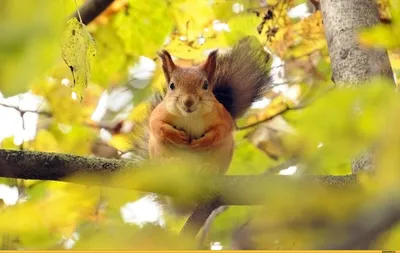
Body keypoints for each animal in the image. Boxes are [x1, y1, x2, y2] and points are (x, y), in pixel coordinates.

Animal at [128, 35, 272, 213]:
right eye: (172, 86)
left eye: (205, 85)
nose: (188, 102)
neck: (190, 116)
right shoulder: (159, 113)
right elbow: (156, 125)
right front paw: (175, 135)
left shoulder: (222, 116)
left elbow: (222, 130)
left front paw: (204, 141)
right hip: (157, 150)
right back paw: (173, 164)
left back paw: (207, 169)